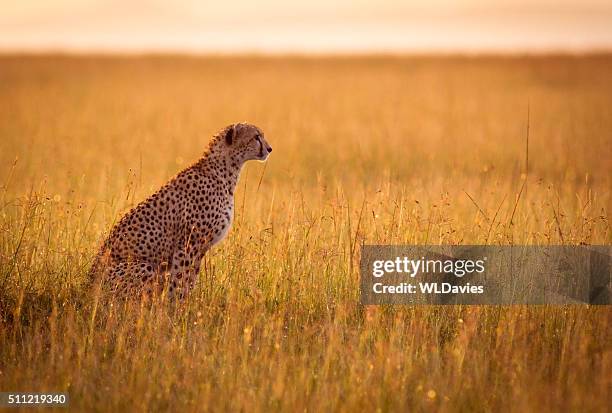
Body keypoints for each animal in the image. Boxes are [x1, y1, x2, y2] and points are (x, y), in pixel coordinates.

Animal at [88, 120, 272, 298]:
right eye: (256, 137)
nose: (270, 149)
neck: (224, 172)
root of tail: (86, 285)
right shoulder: (188, 245)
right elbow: (180, 280)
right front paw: (178, 305)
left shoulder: (199, 249)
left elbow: (190, 280)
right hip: (144, 267)